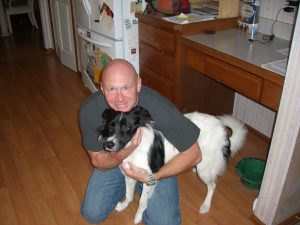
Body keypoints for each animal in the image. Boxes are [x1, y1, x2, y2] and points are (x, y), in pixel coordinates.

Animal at [97, 106, 247, 223]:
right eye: (110, 126)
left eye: (126, 128)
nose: (109, 144)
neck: (134, 146)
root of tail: (222, 130)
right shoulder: (129, 174)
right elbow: (129, 195)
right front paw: (123, 206)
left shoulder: (148, 179)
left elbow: (142, 201)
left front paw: (138, 217)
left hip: (204, 170)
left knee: (212, 186)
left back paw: (206, 205)